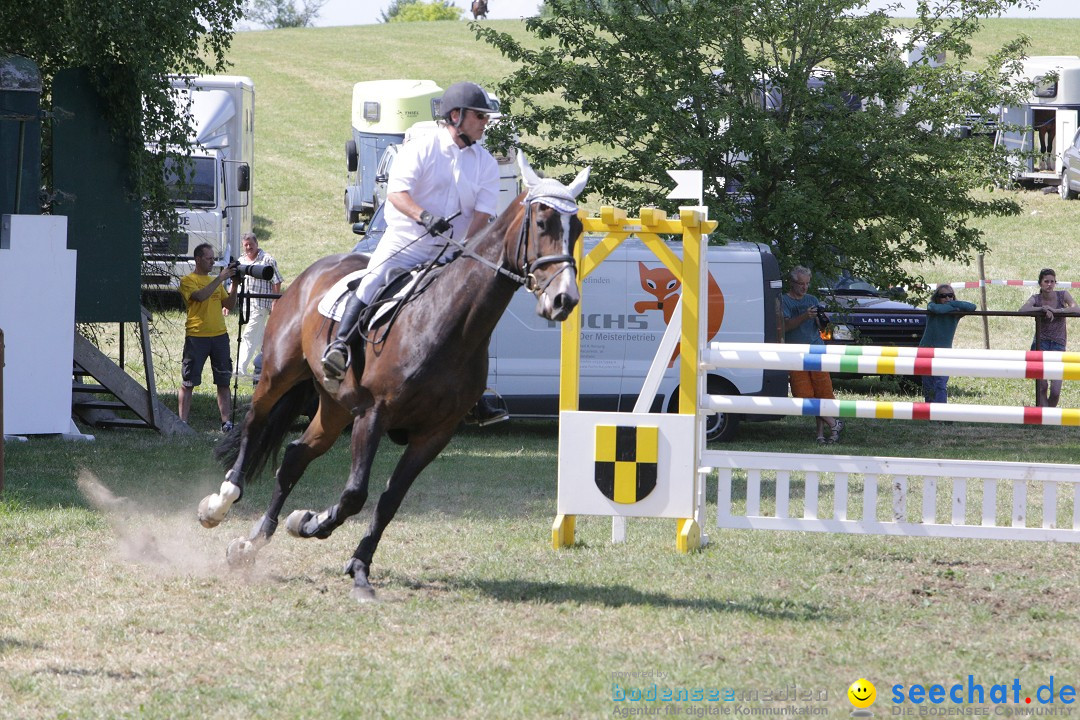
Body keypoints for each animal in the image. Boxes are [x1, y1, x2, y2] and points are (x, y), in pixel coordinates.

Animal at [198, 156, 587, 604]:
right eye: (542, 223)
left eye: (577, 229)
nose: (564, 300)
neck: (448, 323)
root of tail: (314, 272)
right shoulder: (373, 415)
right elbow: (355, 495)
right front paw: (315, 524)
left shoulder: (434, 434)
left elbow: (388, 500)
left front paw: (349, 560)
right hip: (281, 373)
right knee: (253, 424)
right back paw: (221, 501)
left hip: (333, 408)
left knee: (295, 456)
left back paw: (251, 544)